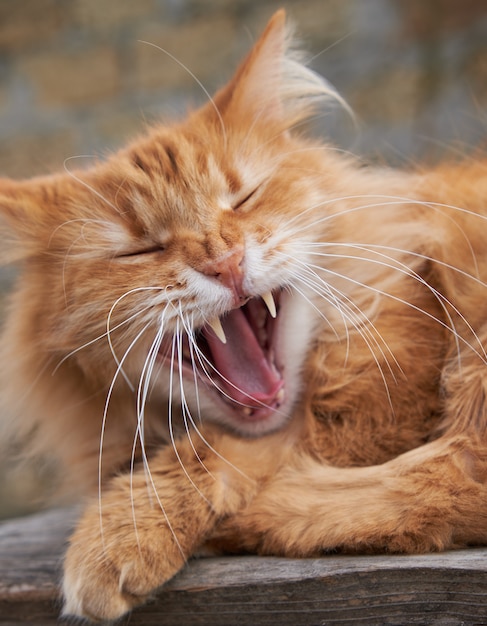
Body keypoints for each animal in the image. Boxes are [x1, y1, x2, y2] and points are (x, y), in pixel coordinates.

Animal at [0, 9, 487, 620]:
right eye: (139, 250)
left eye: (244, 198)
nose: (225, 263)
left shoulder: (376, 413)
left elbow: (214, 448)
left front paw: (119, 534)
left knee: (447, 483)